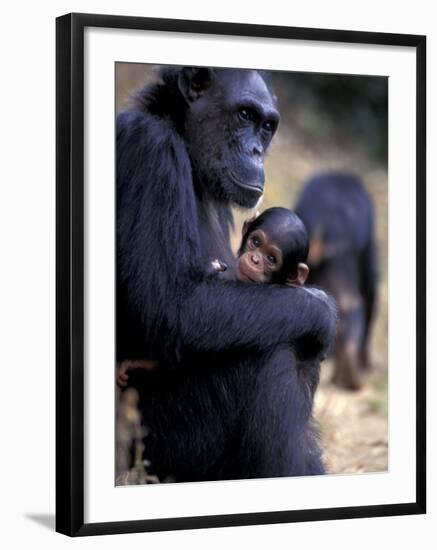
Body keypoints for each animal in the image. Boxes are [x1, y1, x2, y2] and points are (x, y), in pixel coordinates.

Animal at [115, 68, 334, 484]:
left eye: (267, 126)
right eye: (245, 115)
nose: (256, 150)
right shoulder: (150, 150)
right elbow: (172, 308)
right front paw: (322, 307)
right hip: (160, 449)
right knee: (274, 349)